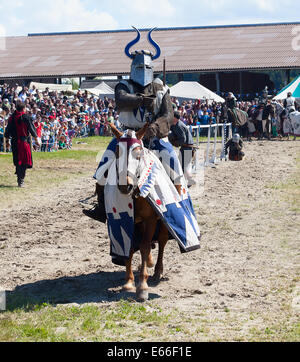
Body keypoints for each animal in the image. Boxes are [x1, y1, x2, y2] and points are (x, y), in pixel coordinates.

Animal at [107, 123, 176, 302]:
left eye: (138, 154)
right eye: (117, 151)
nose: (125, 186)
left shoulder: (151, 219)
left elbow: (144, 246)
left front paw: (142, 287)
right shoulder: (129, 221)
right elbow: (130, 246)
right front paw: (129, 281)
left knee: (162, 240)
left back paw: (157, 271)